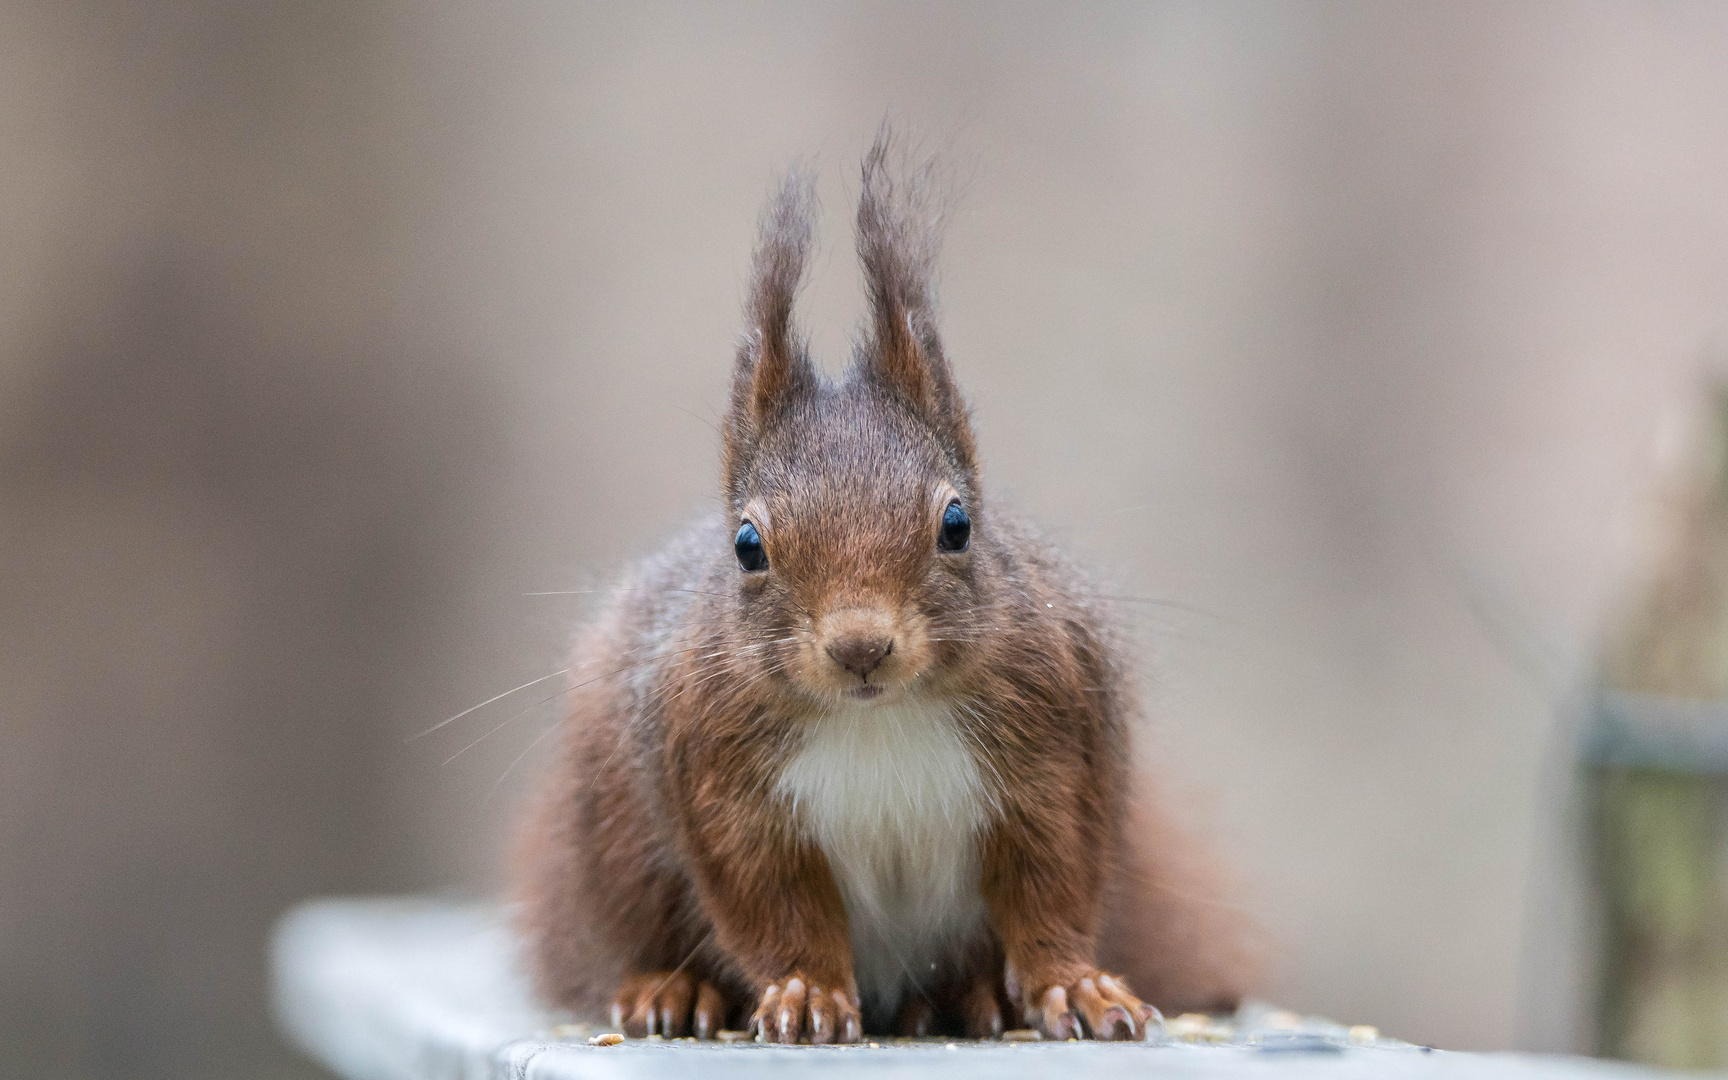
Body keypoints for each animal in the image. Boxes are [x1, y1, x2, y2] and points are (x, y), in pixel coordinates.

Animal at [504, 130, 1251, 1043]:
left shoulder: (1054, 741)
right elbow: (772, 907)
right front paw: (805, 993)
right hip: (611, 843)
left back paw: (972, 994)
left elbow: (1053, 885)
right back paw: (671, 990)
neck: (878, 719)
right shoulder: (718, 777)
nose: (860, 646)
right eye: (747, 546)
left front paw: (1073, 984)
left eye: (957, 524)